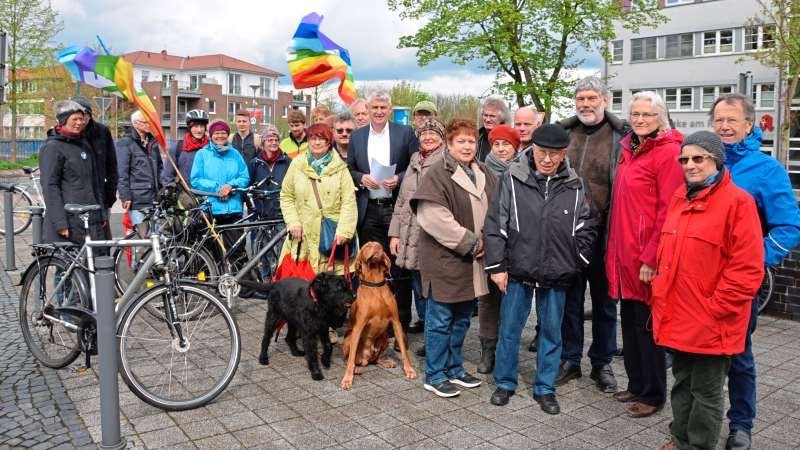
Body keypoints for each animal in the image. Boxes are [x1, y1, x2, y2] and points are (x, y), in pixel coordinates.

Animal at [340, 241, 416, 388]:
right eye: (367, 246)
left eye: (378, 245)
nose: (377, 246)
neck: (375, 285)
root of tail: (365, 358)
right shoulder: (359, 326)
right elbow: (351, 358)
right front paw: (347, 379)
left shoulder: (396, 322)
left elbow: (404, 351)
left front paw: (409, 369)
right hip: (349, 338)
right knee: (349, 359)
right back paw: (356, 369)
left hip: (384, 337)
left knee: (374, 360)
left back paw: (385, 362)